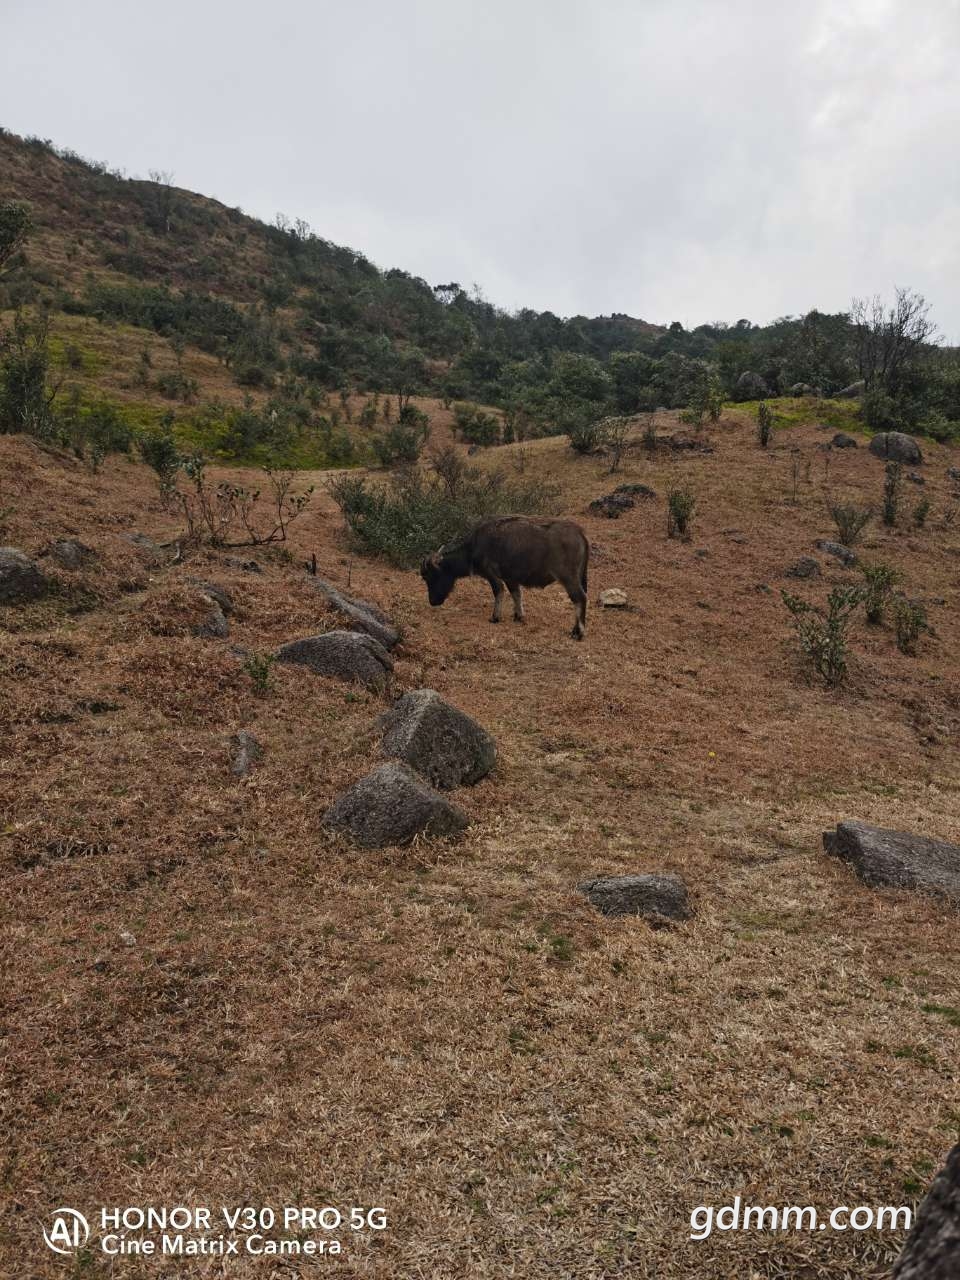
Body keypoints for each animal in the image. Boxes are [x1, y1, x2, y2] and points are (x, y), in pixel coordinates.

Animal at [422, 514, 593, 640]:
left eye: (430, 576)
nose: (432, 601)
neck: (473, 548)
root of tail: (580, 533)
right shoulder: (511, 579)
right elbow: (516, 594)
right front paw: (518, 616)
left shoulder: (493, 576)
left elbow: (498, 592)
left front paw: (495, 617)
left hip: (568, 579)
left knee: (580, 599)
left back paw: (578, 632)